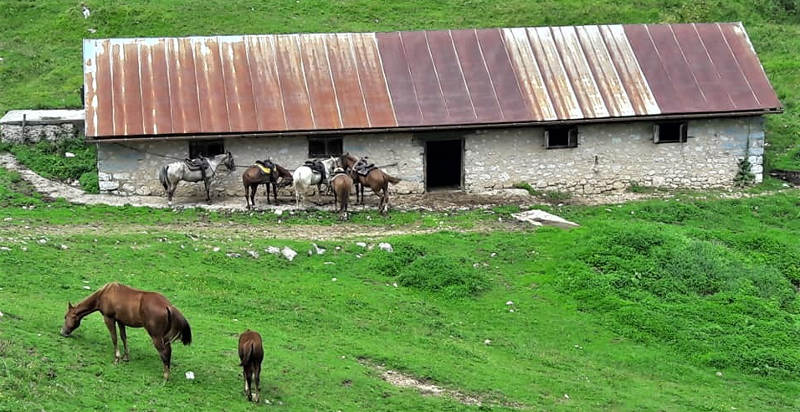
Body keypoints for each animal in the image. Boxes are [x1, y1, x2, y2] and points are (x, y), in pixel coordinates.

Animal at [60, 282, 192, 380]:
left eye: (66, 316)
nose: (63, 332)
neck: (105, 293)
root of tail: (167, 306)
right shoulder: (121, 321)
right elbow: (123, 337)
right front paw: (126, 357)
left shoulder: (109, 318)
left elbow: (114, 338)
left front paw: (117, 358)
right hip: (163, 336)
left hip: (156, 336)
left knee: (165, 352)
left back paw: (165, 376)